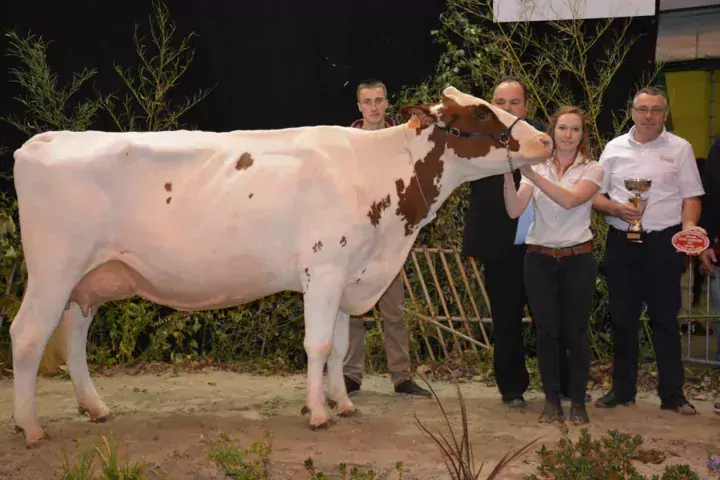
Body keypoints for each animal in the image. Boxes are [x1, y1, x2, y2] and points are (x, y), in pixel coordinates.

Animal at [9, 86, 552, 446]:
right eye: (480, 110)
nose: (545, 140)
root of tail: (44, 140)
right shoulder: (324, 268)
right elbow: (318, 344)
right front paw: (318, 413)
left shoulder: (349, 273)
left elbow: (339, 347)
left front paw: (343, 403)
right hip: (55, 268)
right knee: (28, 334)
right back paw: (30, 426)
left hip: (87, 280)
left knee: (73, 337)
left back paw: (96, 409)